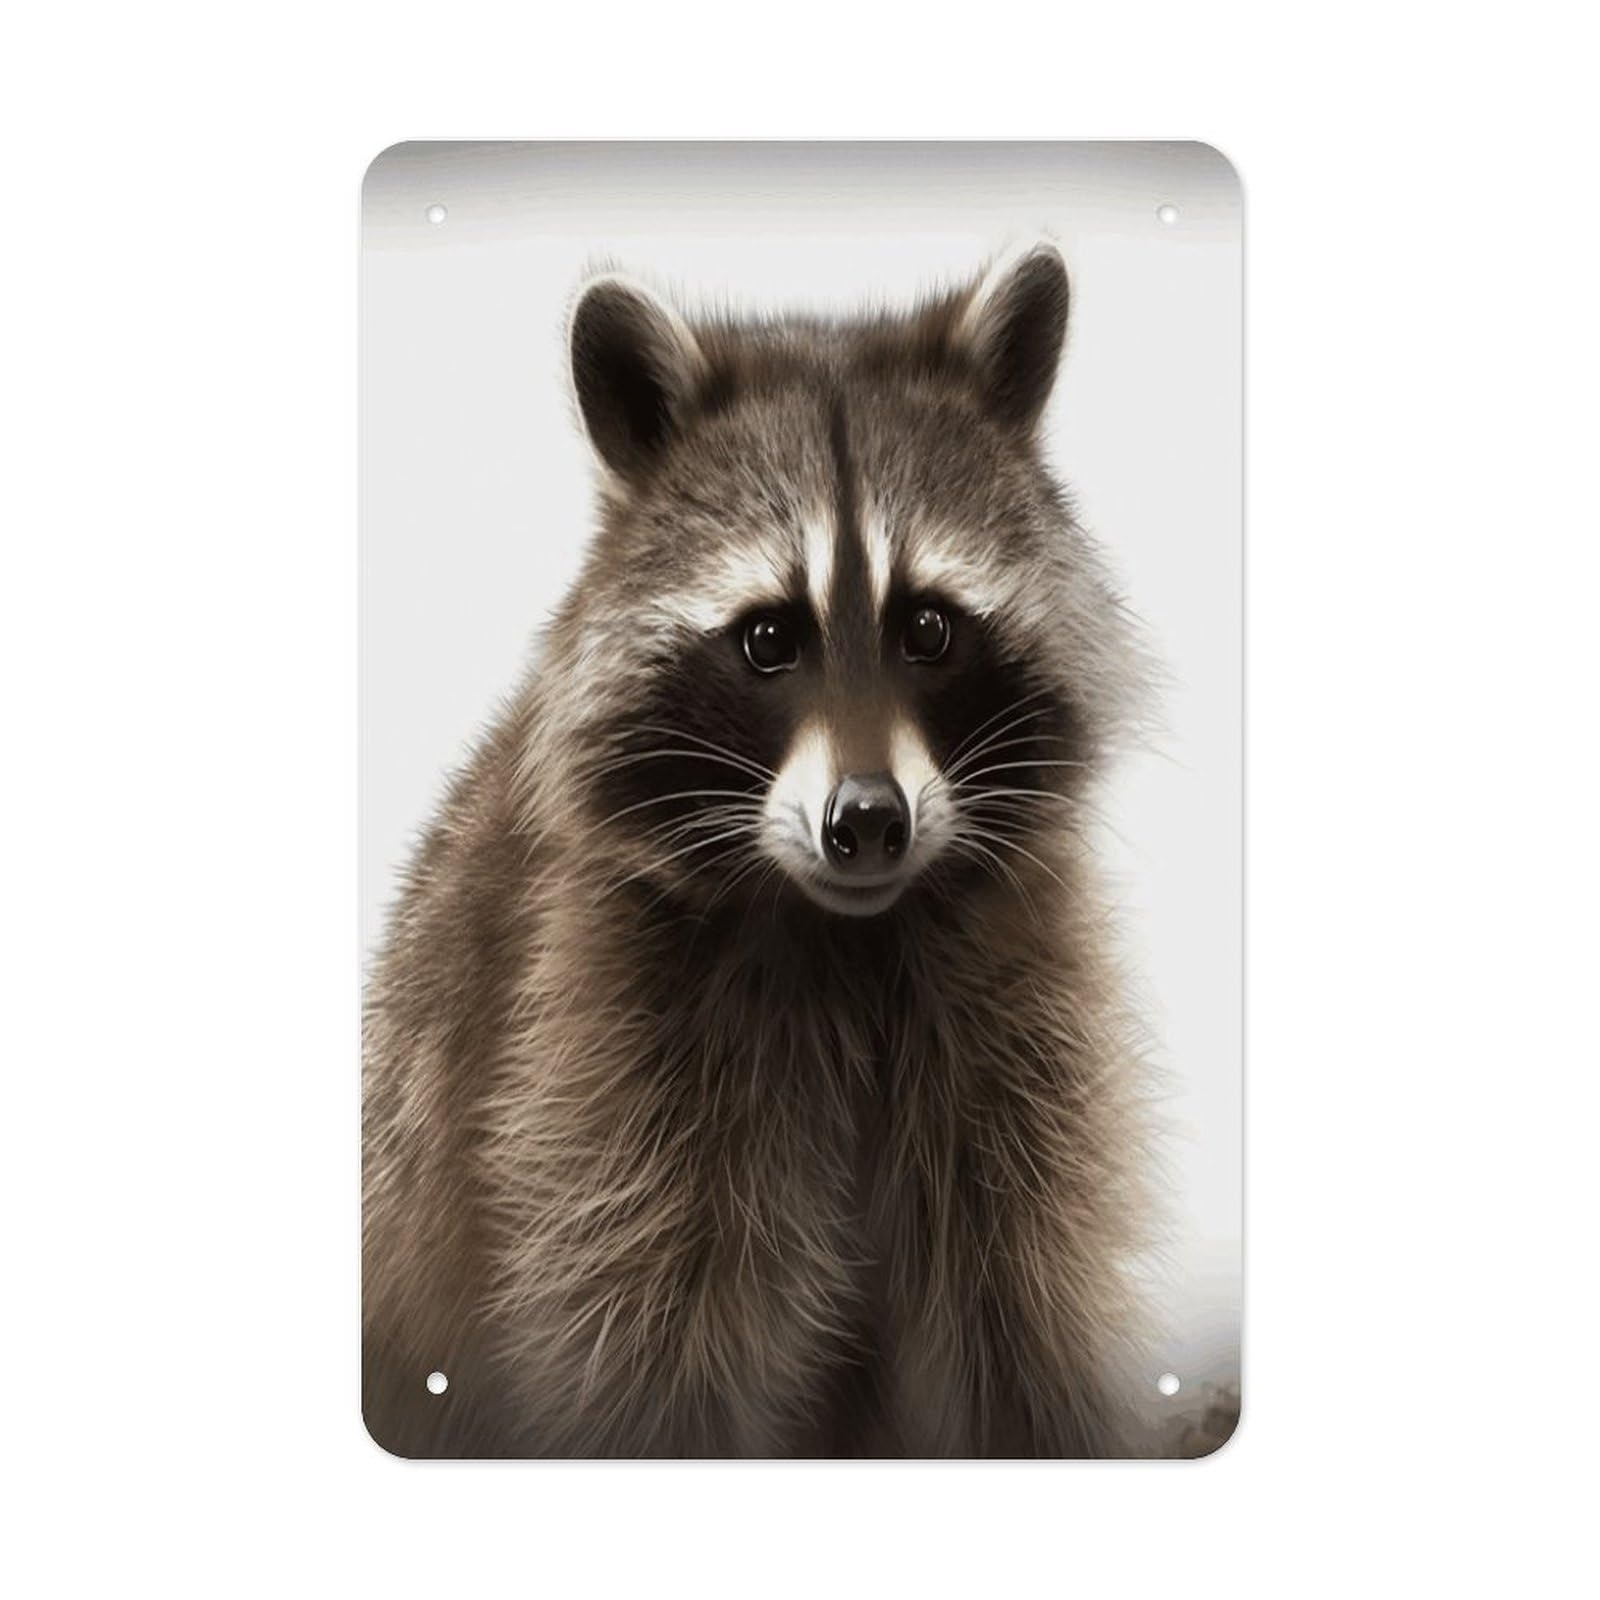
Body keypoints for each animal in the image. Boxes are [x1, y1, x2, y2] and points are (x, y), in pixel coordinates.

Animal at [362, 245, 1154, 1458]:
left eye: (929, 626)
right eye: (769, 638)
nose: (868, 819)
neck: (849, 933)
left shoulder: (1015, 1008)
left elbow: (1018, 1305)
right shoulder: (592, 1050)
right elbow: (643, 1340)